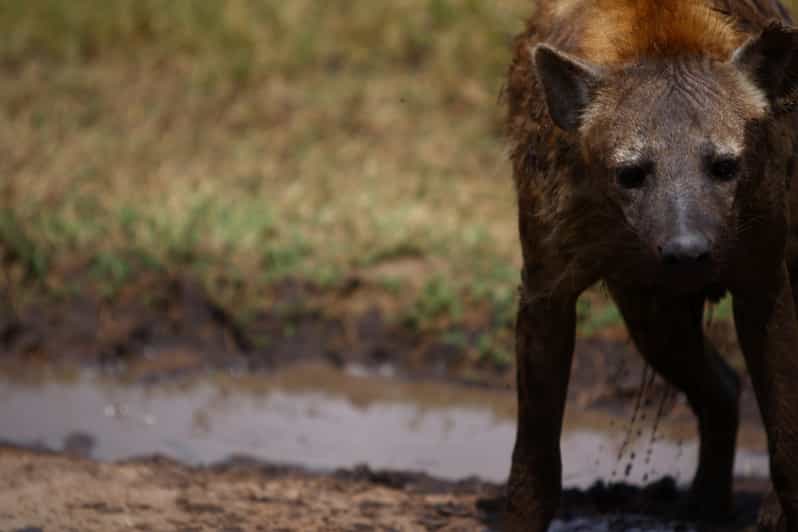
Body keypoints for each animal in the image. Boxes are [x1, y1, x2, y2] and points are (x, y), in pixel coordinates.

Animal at [504, 0, 798, 530]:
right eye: (631, 173)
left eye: (725, 166)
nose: (687, 252)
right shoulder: (546, 277)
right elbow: (534, 458)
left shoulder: (762, 267)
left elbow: (787, 433)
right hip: (649, 312)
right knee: (718, 382)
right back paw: (704, 505)